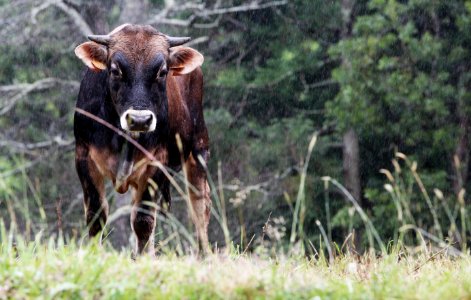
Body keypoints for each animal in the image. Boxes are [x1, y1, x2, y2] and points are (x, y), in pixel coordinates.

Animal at [73, 24, 210, 255]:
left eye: (162, 72)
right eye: (115, 70)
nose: (139, 119)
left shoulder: (157, 162)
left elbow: (143, 220)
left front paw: (142, 258)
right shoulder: (84, 156)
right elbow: (96, 216)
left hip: (199, 149)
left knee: (200, 208)